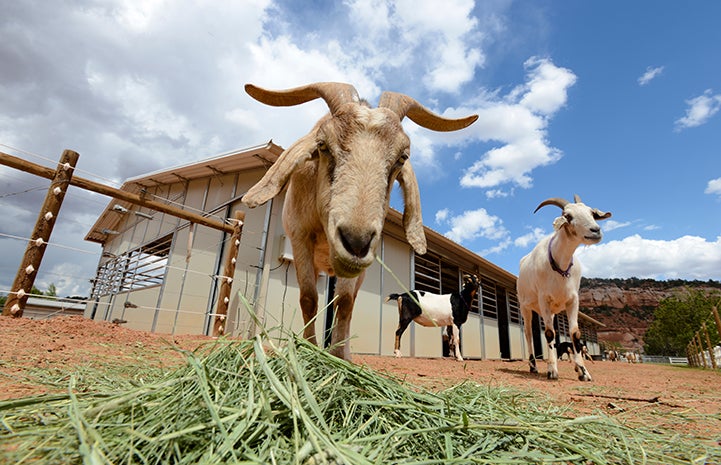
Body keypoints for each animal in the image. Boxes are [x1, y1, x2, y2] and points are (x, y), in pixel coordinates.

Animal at [241, 82, 478, 361]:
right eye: (322, 145)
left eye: (402, 157)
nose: (356, 241)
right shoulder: (299, 239)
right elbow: (309, 298)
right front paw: (309, 349)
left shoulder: (356, 269)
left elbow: (345, 302)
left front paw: (340, 355)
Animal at [517, 194, 611, 381]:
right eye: (568, 216)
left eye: (592, 213)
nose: (595, 230)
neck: (559, 266)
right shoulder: (544, 299)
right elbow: (549, 334)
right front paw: (552, 371)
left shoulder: (573, 300)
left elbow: (574, 333)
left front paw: (583, 372)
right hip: (526, 307)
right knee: (529, 334)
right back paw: (533, 366)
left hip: (552, 311)